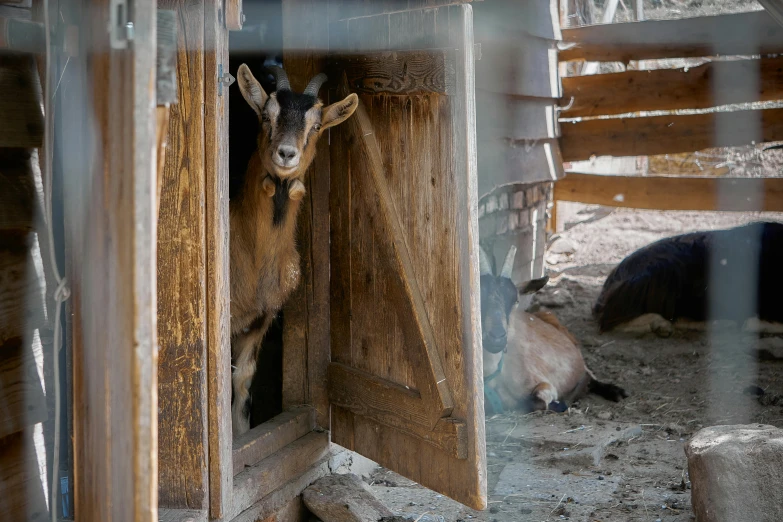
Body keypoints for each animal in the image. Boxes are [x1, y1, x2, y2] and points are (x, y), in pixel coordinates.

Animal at [480, 246, 628, 412]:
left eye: (515, 300)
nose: (497, 336)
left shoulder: (545, 385)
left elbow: (535, 402)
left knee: (588, 373)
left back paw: (613, 391)